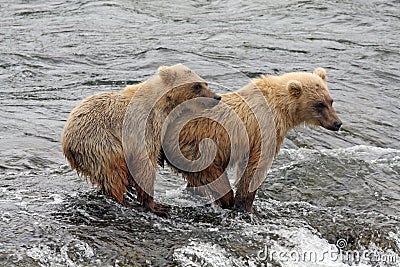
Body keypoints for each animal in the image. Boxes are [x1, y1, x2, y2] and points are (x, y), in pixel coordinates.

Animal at [159, 68, 340, 213]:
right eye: (319, 104)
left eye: (330, 101)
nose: (337, 123)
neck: (280, 108)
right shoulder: (264, 129)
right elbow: (255, 166)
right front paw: (245, 203)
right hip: (197, 148)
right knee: (212, 176)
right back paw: (226, 199)